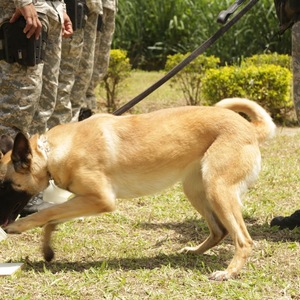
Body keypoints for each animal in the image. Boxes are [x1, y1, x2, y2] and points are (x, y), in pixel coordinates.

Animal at [0, 99, 276, 282]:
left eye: (3, 184)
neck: (52, 151)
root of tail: (250, 128)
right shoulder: (84, 199)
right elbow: (51, 219)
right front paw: (47, 249)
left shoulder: (100, 200)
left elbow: (44, 214)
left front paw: (17, 227)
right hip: (197, 190)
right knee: (219, 231)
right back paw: (194, 251)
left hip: (217, 189)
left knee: (243, 239)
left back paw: (229, 272)